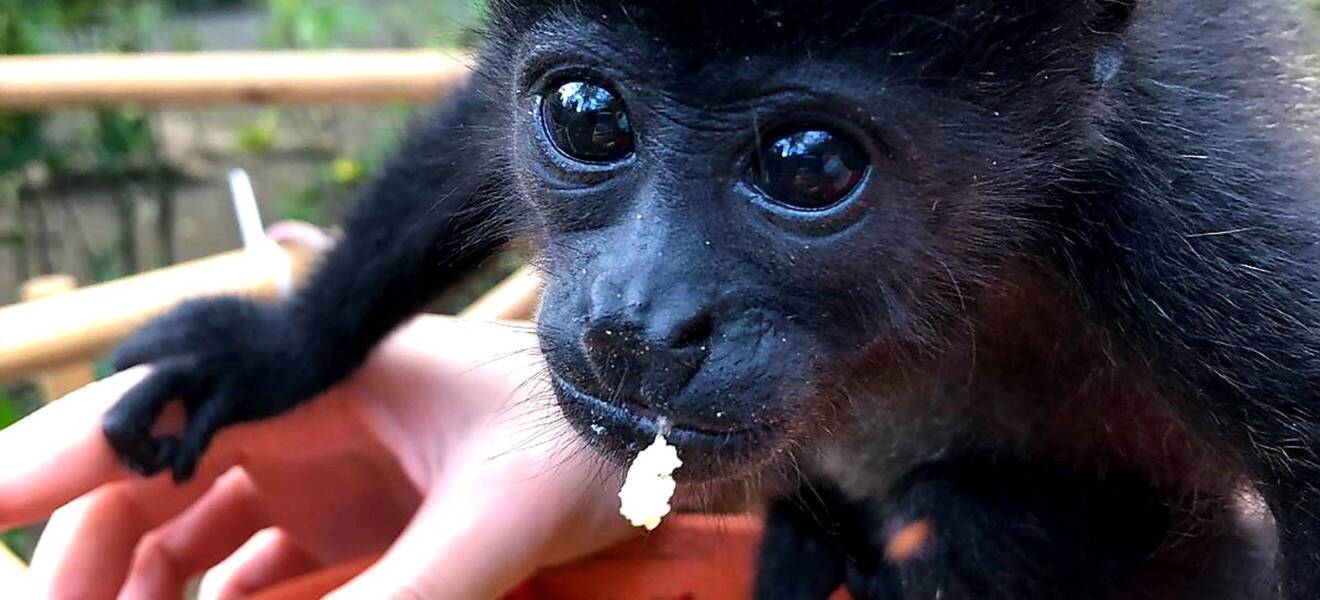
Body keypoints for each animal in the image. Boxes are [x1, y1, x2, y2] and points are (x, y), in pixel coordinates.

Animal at [101, 0, 1320, 597]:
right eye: (587, 113)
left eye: (810, 163)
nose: (639, 322)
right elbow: (479, 126)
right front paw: (273, 350)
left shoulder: (1189, 197)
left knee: (952, 517)